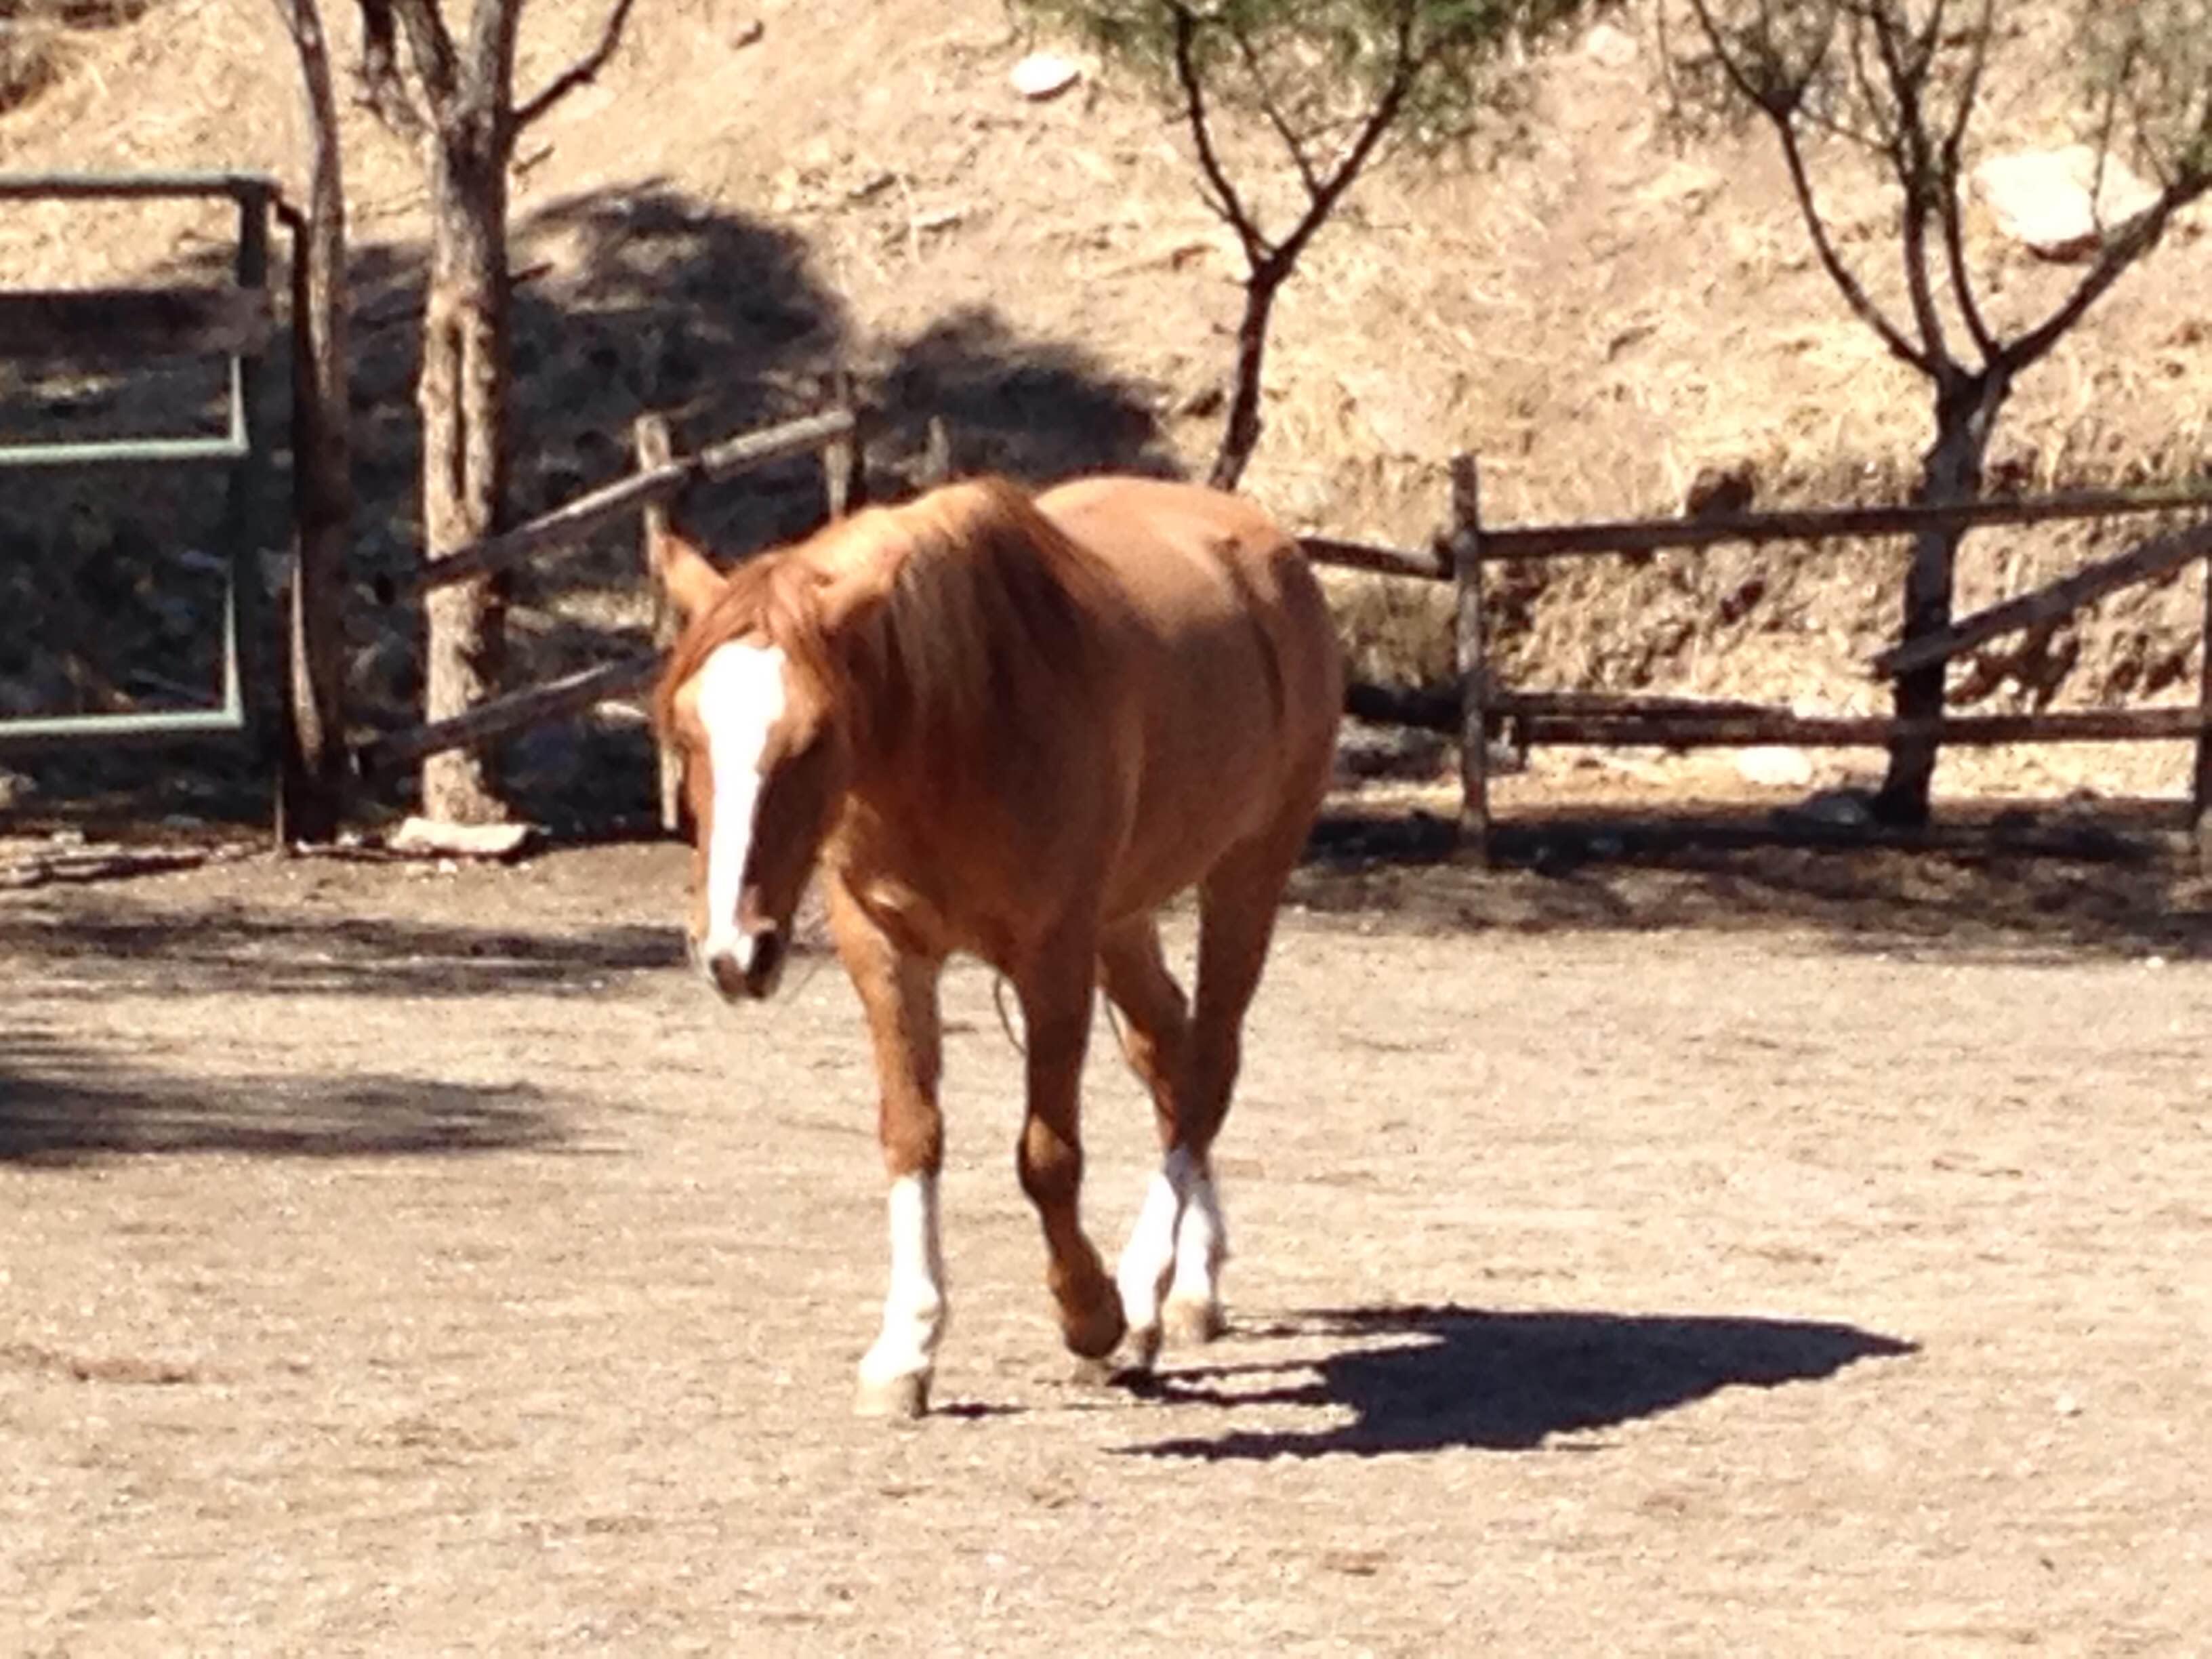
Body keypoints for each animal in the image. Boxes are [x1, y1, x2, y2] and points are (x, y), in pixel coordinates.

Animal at [646, 471, 1336, 1415]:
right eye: (686, 734)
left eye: (814, 738)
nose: (731, 953)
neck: (954, 733)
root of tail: (1268, 547)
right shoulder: (885, 948)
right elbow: (911, 1133)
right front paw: (905, 1349)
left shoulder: (1053, 955)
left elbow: (1047, 1157)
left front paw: (1092, 1315)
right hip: (1123, 919)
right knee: (1169, 1054)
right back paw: (1187, 1291)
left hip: (1247, 874)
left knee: (1208, 1071)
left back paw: (1144, 1293)